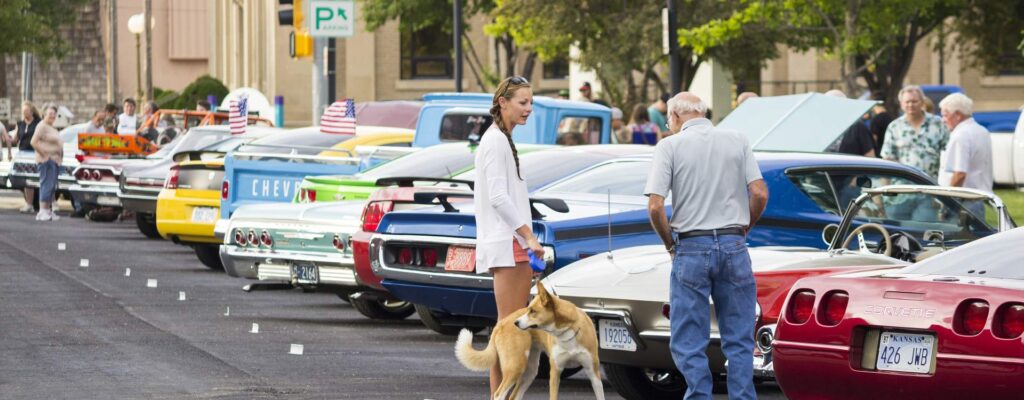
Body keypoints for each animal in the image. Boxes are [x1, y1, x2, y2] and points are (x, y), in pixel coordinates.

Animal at [454, 282, 602, 400]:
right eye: (529, 309)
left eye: (533, 311)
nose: (516, 323)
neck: (567, 332)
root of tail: (502, 322)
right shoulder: (555, 371)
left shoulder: (593, 372)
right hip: (515, 366)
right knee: (498, 394)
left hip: (529, 372)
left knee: (513, 397)